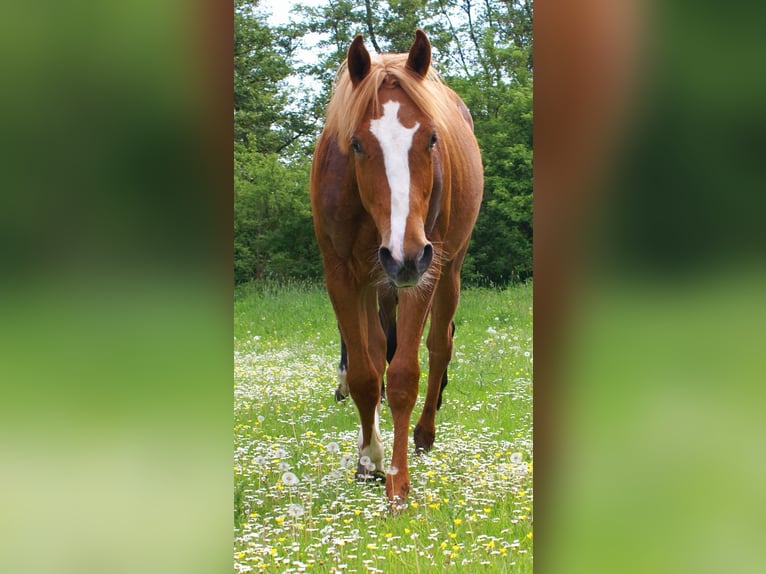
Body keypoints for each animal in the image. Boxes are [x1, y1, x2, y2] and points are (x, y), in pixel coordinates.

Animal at [310, 30, 483, 504]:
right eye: (356, 144)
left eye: (431, 139)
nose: (404, 254)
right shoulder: (342, 275)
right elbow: (365, 374)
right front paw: (369, 460)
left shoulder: (420, 272)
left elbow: (404, 374)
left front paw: (398, 483)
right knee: (373, 349)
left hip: (446, 268)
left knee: (440, 345)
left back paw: (424, 434)